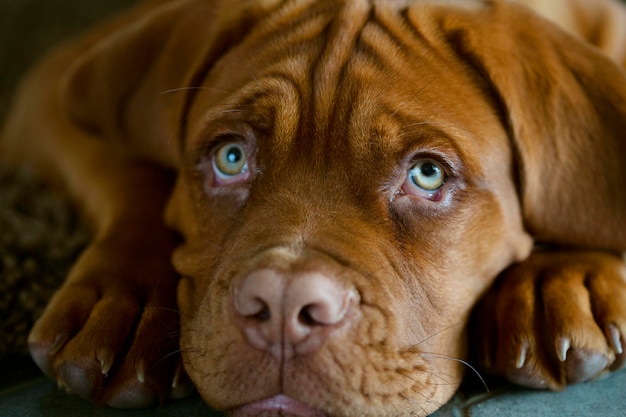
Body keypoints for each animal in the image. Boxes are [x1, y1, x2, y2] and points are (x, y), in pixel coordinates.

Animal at [1, 0, 624, 414]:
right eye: (230, 157)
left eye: (427, 174)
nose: (281, 306)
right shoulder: (57, 83)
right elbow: (138, 173)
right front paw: (127, 302)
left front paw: (557, 279)